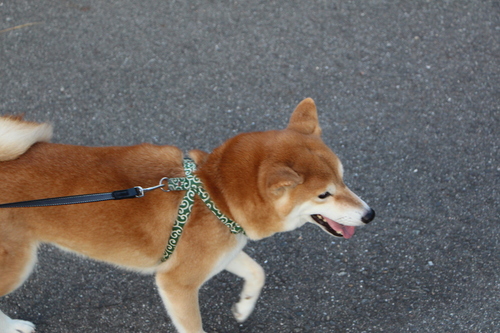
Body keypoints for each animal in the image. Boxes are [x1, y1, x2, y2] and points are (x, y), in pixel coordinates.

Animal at [0, 98, 376, 332]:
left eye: (343, 177)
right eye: (324, 194)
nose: (370, 214)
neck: (215, 195)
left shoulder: (222, 250)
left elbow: (257, 273)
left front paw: (243, 307)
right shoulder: (177, 282)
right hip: (17, 265)